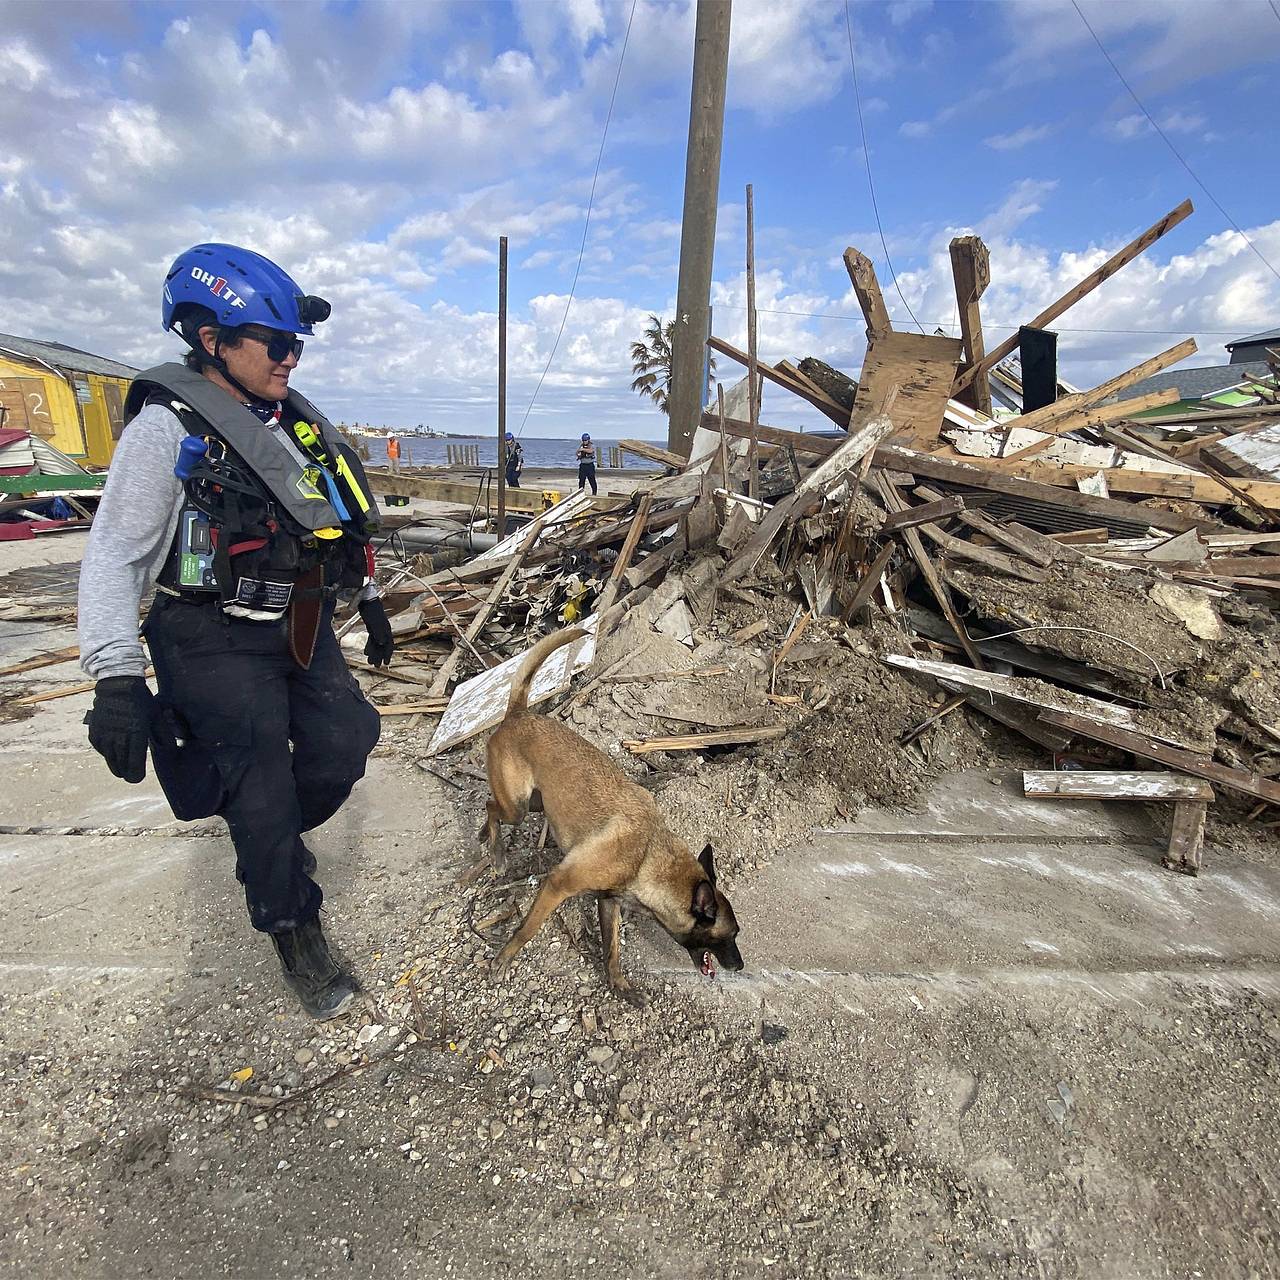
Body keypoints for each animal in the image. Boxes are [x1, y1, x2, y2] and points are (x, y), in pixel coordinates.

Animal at [478, 624, 742, 993]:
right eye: (728, 936)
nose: (740, 965)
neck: (647, 856)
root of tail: (518, 713)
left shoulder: (608, 901)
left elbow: (612, 948)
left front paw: (618, 985)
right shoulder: (557, 885)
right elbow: (528, 928)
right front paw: (505, 957)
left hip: (535, 804)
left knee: (491, 806)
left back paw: (484, 838)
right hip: (518, 807)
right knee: (492, 807)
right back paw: (497, 853)